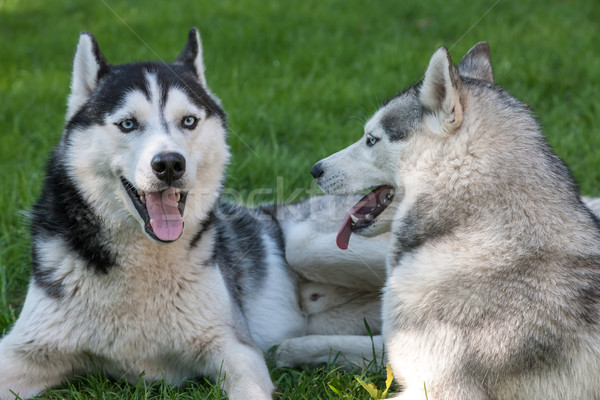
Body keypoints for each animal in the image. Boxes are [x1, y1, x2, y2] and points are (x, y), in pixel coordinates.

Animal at [0, 29, 386, 398]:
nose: (169, 163)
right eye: (127, 124)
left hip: (306, 244)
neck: (145, 265)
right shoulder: (24, 348)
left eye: (188, 121)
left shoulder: (235, 347)